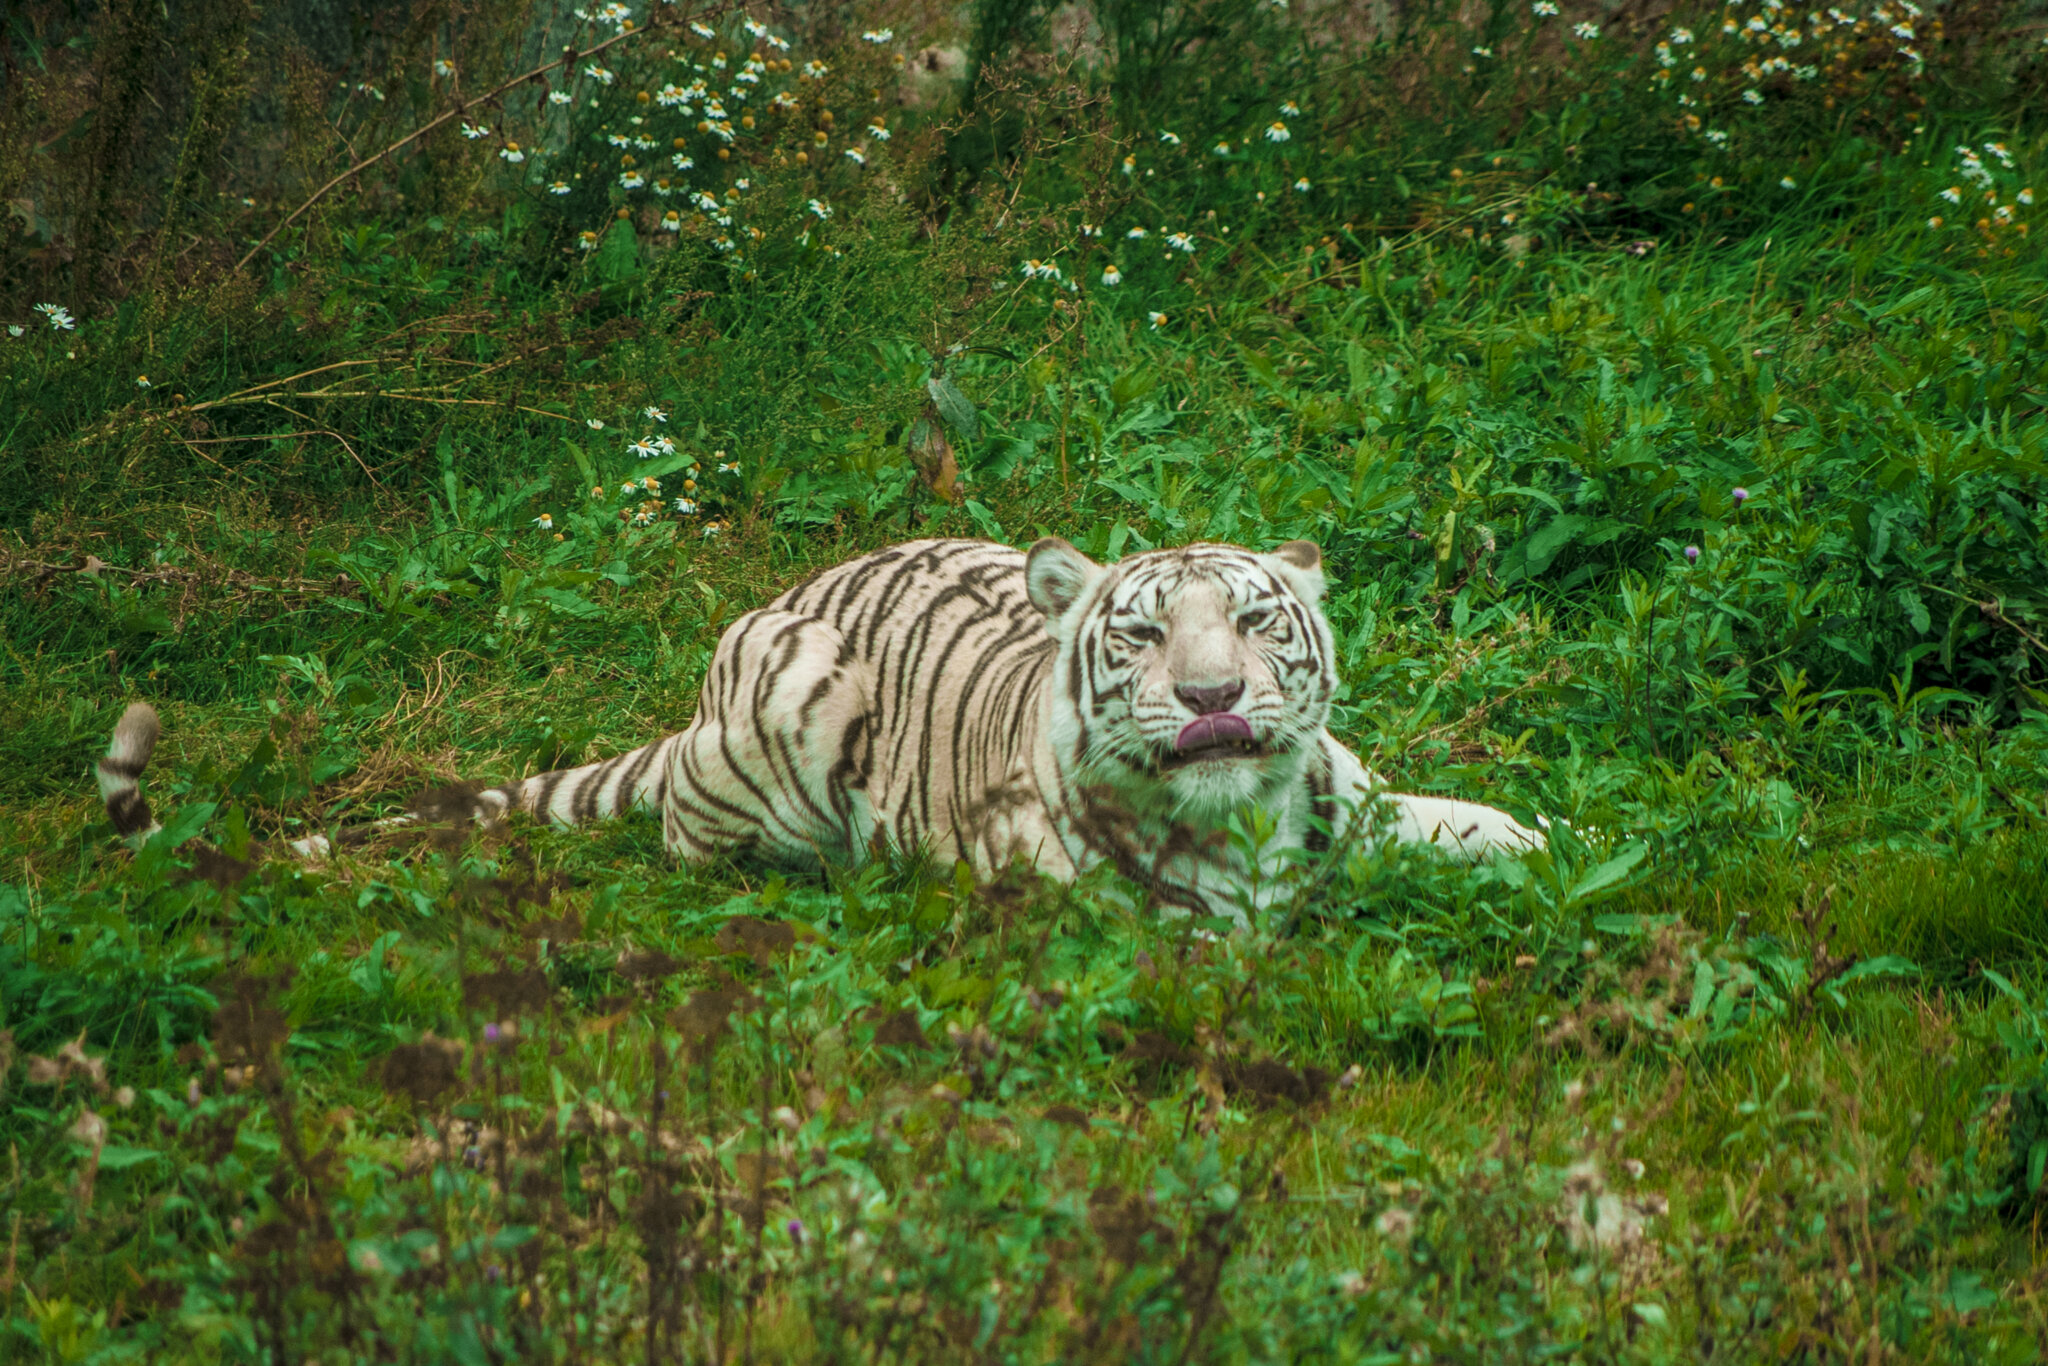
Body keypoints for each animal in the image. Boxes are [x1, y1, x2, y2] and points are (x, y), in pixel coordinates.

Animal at [99, 537, 1543, 921]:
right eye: (1141, 638)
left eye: (1249, 620)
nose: (1209, 699)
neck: (1242, 816)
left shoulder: (1350, 800)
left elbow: (1449, 821)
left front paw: (1535, 844)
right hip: (787, 715)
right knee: (692, 845)